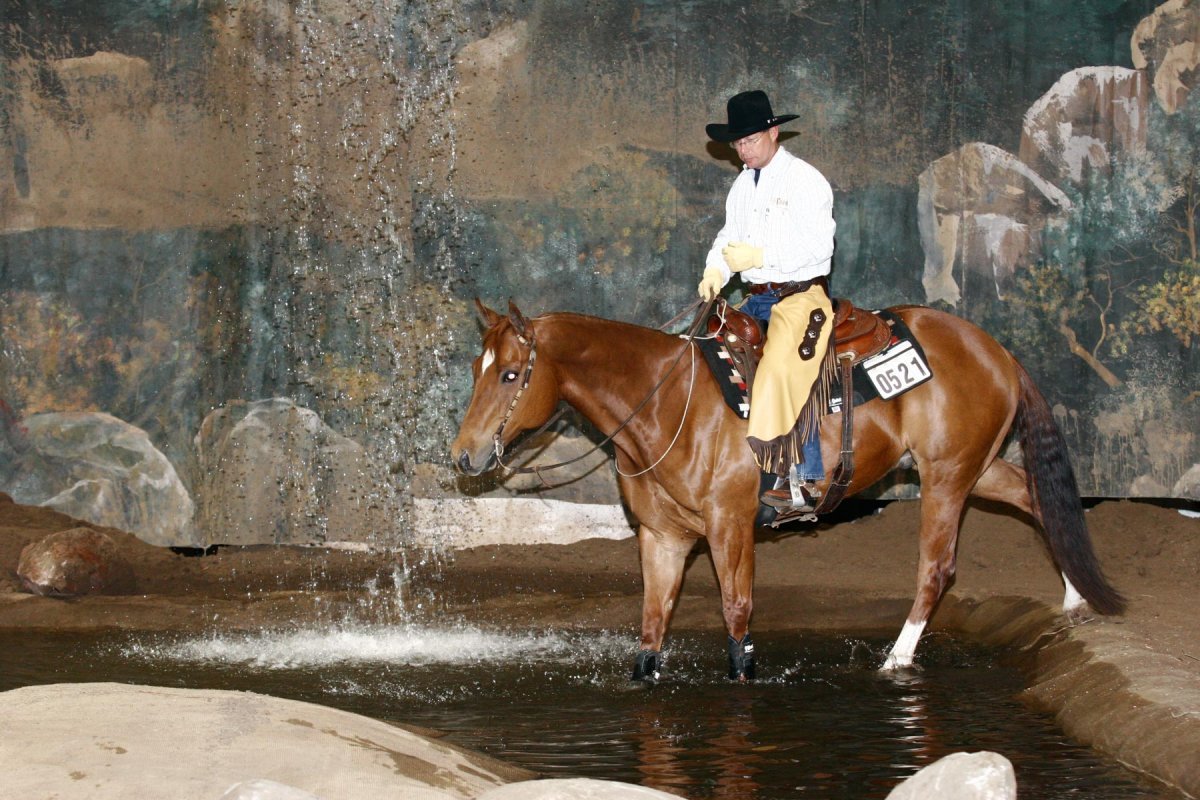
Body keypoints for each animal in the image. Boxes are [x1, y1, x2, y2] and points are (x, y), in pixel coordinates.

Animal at [451, 299, 1125, 682]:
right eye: (477, 369)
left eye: (510, 374)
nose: (464, 455)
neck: (669, 404)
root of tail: (996, 350)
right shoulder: (663, 538)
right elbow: (650, 630)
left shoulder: (729, 526)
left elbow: (737, 617)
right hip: (977, 469)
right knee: (1036, 498)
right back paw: (1072, 601)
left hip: (947, 476)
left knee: (937, 568)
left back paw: (897, 662)